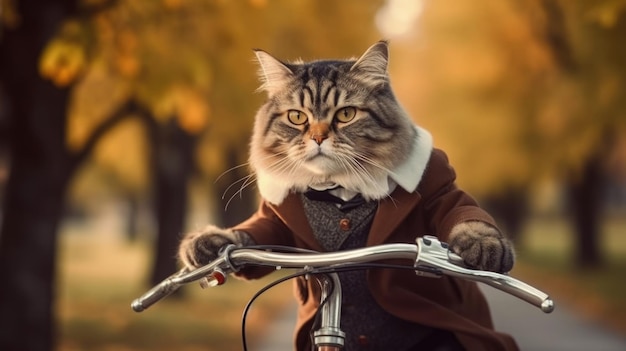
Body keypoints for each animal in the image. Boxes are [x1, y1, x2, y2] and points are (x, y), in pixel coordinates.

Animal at [177, 41, 516, 351]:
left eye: (346, 114)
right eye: (297, 117)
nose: (317, 138)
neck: (337, 189)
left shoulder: (440, 183)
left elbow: (466, 217)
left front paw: (485, 244)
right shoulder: (273, 219)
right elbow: (247, 235)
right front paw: (209, 242)